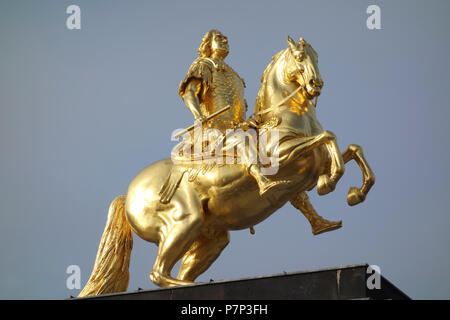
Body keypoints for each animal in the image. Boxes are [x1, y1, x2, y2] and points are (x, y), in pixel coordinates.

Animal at [79, 35, 374, 298]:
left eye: (317, 57)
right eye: (300, 57)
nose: (316, 84)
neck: (285, 119)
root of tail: (129, 194)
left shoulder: (313, 165)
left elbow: (351, 149)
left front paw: (355, 194)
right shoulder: (282, 156)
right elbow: (328, 137)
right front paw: (330, 182)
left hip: (209, 238)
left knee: (176, 270)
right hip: (183, 221)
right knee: (158, 273)